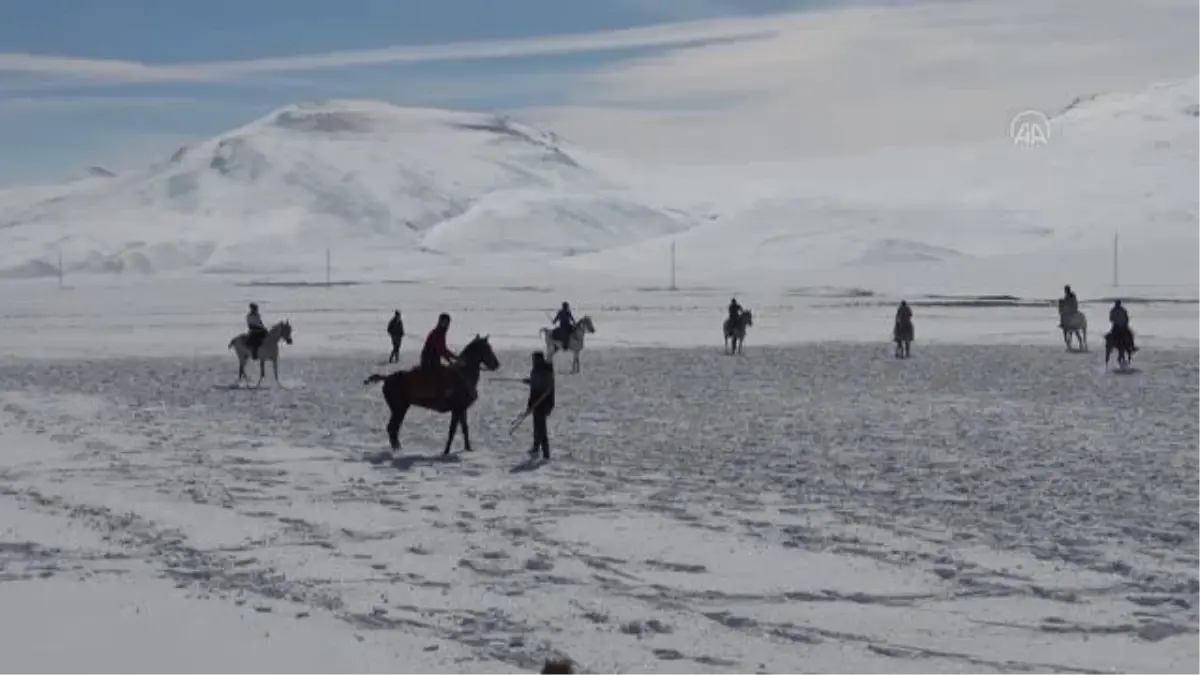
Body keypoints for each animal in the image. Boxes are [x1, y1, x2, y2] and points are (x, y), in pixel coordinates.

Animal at [362, 333, 499, 454]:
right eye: (487, 348)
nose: (496, 364)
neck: (464, 375)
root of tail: (386, 378)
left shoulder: (462, 409)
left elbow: (464, 429)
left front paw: (468, 449)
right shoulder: (457, 409)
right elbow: (452, 431)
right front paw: (446, 451)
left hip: (400, 408)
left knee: (393, 429)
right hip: (399, 408)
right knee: (392, 428)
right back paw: (398, 450)